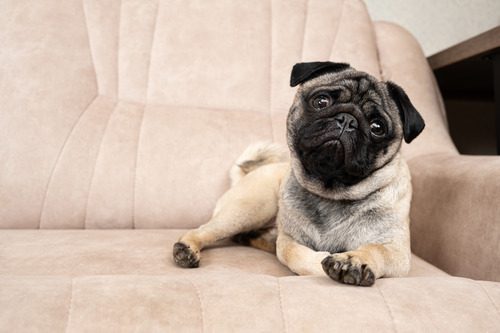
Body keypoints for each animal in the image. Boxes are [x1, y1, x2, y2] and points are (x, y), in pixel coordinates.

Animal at [174, 61, 424, 284]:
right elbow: (296, 255)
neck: (332, 192)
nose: (347, 119)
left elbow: (375, 249)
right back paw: (187, 247)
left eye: (377, 127)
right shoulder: (290, 241)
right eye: (321, 101)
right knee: (206, 230)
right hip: (250, 208)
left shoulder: (396, 251)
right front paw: (323, 260)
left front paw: (352, 262)